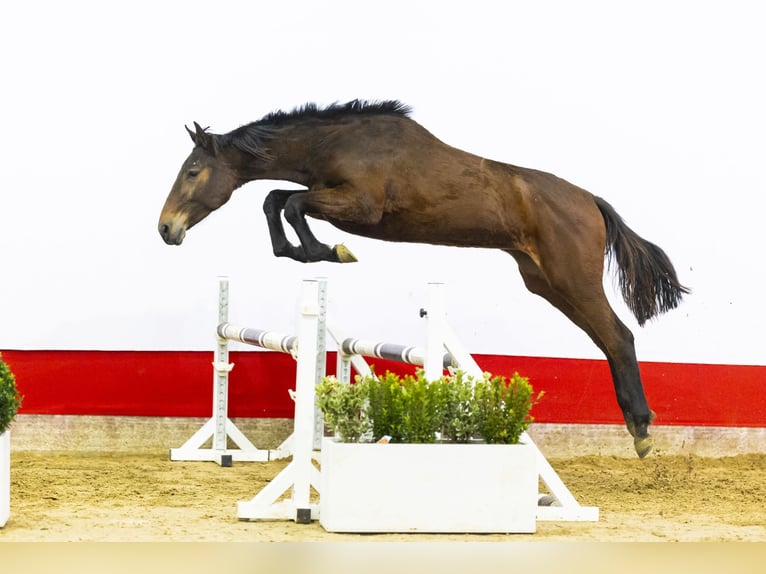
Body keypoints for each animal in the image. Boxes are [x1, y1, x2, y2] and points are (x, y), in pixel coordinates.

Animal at [158, 99, 688, 460]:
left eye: (193, 171)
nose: (166, 229)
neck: (335, 144)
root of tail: (590, 201)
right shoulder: (328, 196)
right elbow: (277, 200)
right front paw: (306, 251)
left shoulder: (360, 208)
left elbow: (289, 203)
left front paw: (328, 252)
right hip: (546, 282)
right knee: (606, 339)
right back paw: (637, 428)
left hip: (572, 279)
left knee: (618, 336)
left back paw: (642, 431)